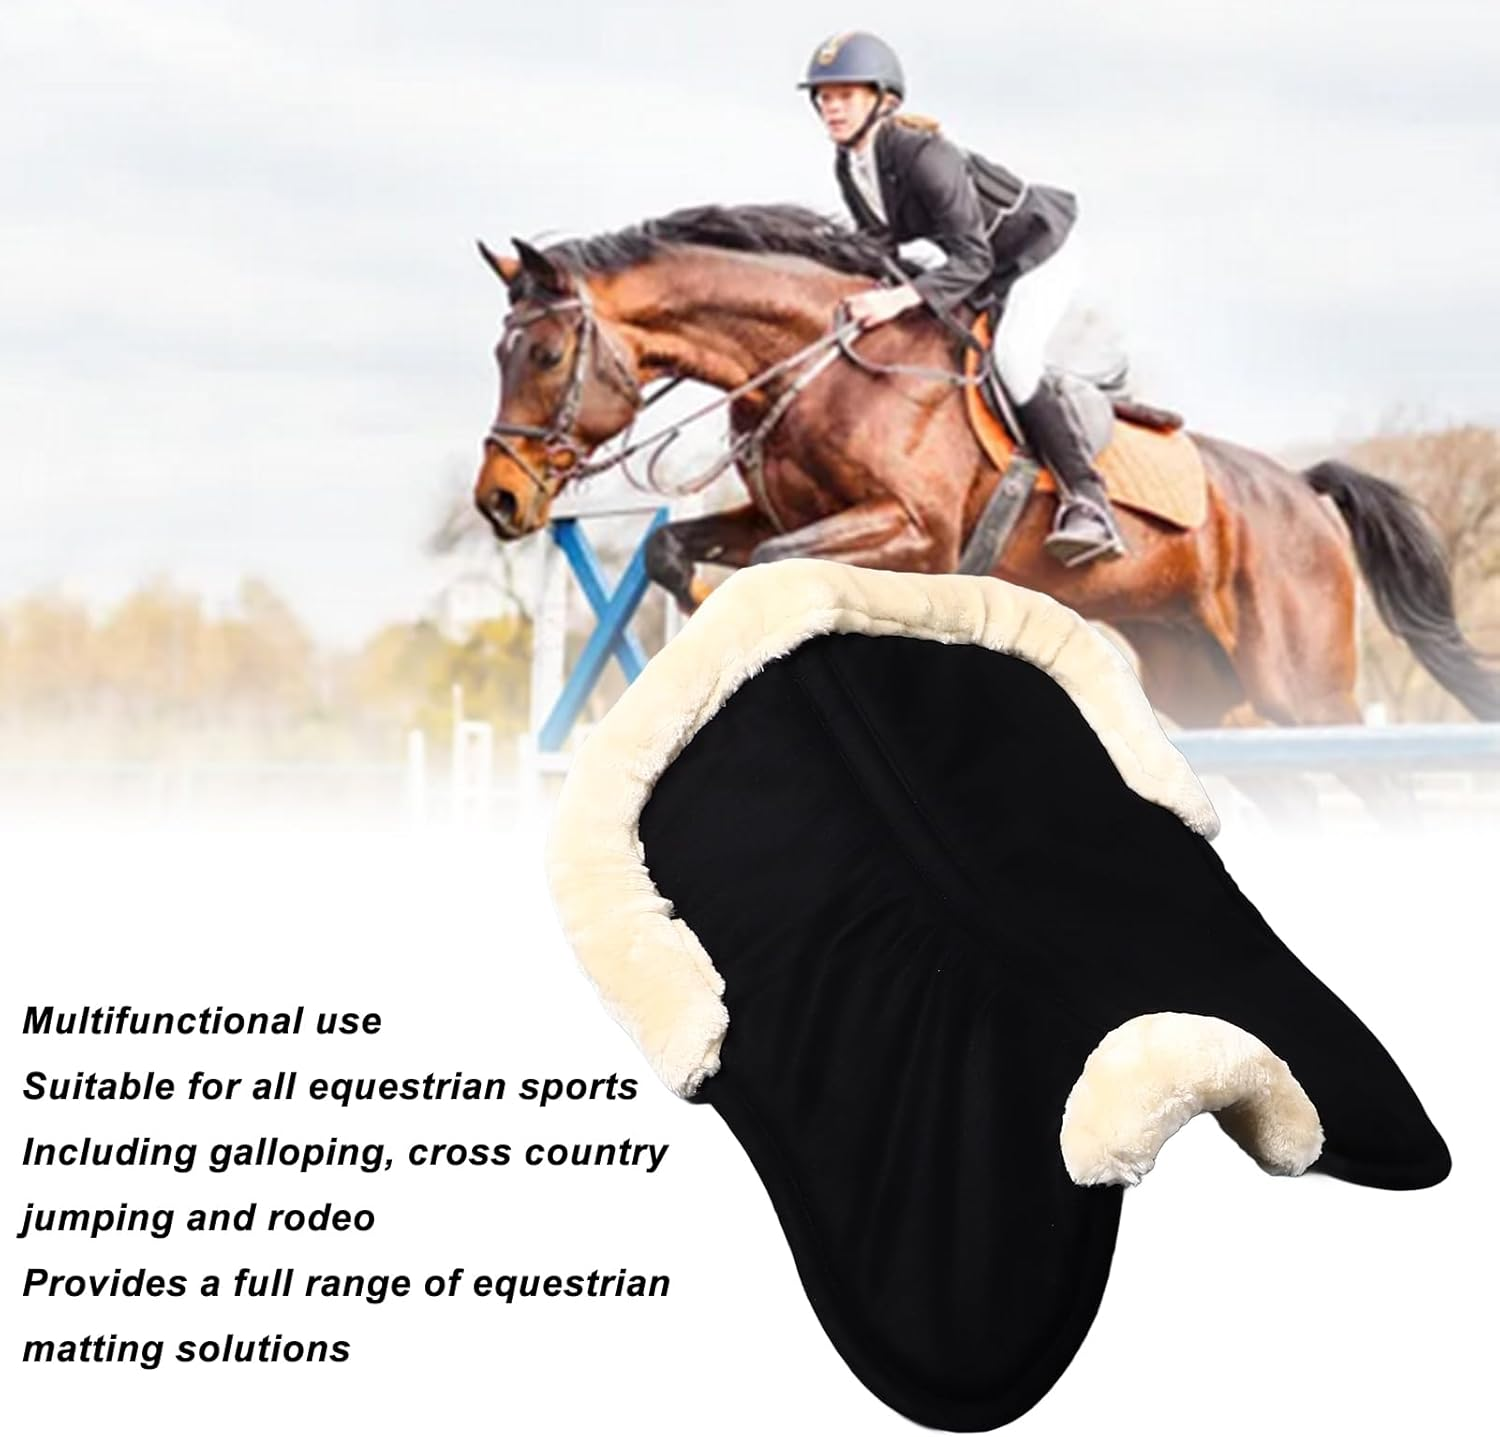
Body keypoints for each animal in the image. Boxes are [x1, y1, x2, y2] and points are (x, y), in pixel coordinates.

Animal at [474, 203, 1499, 731]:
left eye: (547, 355)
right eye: (500, 353)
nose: (499, 500)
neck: (816, 361)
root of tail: (1304, 493)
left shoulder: (913, 537)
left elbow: (770, 569)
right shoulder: (779, 514)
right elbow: (674, 553)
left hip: (1304, 687)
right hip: (1204, 685)